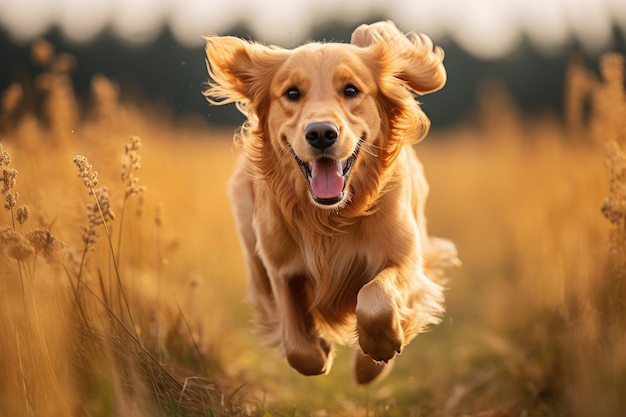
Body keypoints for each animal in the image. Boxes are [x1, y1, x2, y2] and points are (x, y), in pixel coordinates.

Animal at [206, 19, 458, 384]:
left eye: (351, 90)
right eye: (292, 93)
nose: (322, 133)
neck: (329, 218)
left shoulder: (405, 258)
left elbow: (376, 297)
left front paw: (377, 354)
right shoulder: (280, 268)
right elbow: (298, 346)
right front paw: (320, 349)